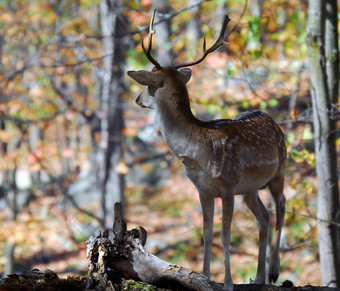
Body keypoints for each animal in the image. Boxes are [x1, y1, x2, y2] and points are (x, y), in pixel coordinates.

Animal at [128, 9, 286, 291]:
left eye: (149, 84)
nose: (137, 100)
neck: (198, 155)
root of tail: (272, 120)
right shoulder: (203, 190)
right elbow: (207, 233)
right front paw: (204, 276)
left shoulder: (228, 186)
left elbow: (225, 234)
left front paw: (228, 282)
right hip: (251, 189)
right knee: (264, 217)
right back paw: (258, 277)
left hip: (280, 170)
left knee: (281, 207)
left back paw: (273, 272)